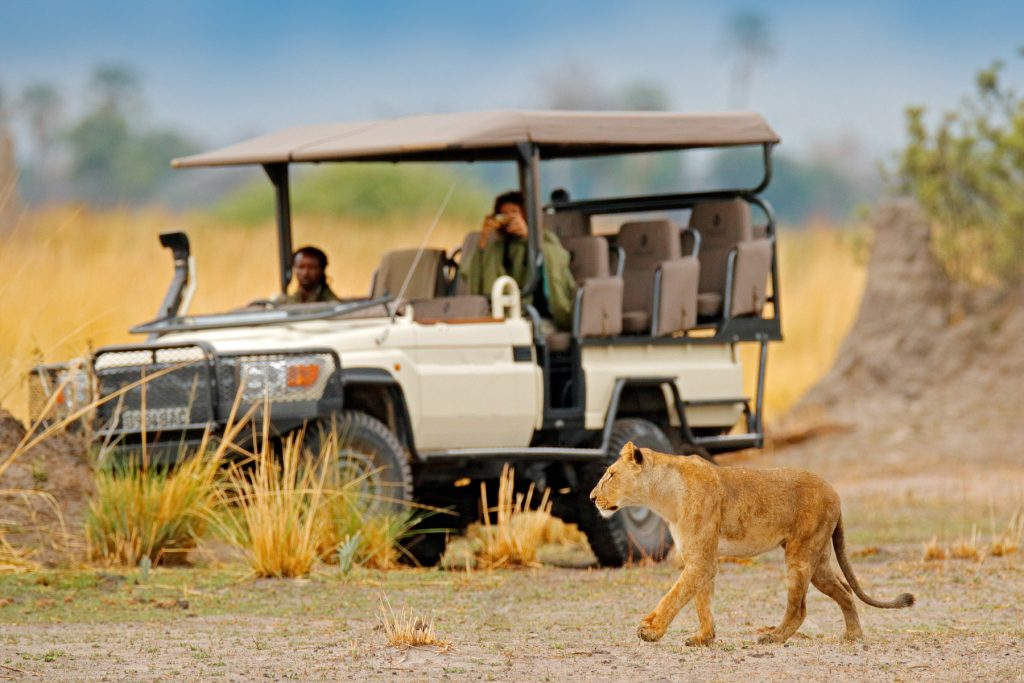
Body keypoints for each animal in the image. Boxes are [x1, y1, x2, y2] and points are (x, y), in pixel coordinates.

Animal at [589, 442, 914, 645]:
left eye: (611, 474)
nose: (592, 498)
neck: (663, 496)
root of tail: (835, 491)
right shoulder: (702, 558)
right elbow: (701, 599)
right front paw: (704, 638)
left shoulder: (701, 558)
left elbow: (674, 595)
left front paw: (651, 630)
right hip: (818, 559)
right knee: (845, 591)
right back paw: (853, 636)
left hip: (800, 554)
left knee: (799, 608)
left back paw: (773, 637)